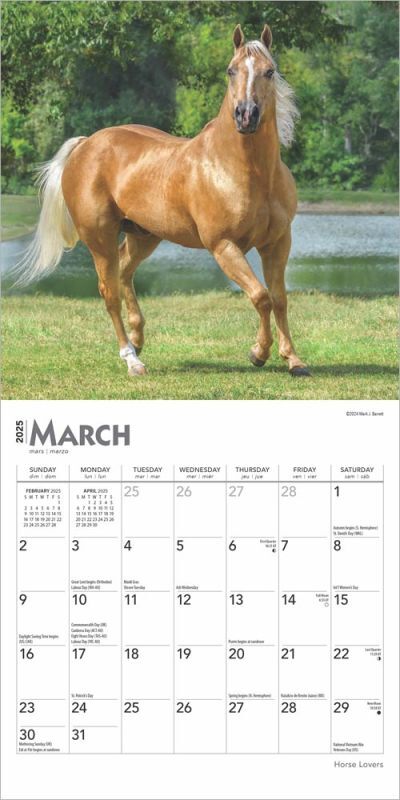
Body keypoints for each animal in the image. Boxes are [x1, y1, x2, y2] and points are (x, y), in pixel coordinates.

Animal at [17, 23, 310, 378]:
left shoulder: (277, 242)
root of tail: (87, 144)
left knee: (124, 272)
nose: (246, 116)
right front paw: (258, 353)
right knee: (109, 293)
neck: (245, 171)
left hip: (143, 235)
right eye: (231, 70)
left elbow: (279, 298)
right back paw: (132, 358)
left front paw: (294, 360)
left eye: (269, 71)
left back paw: (138, 338)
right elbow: (260, 296)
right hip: (99, 238)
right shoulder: (223, 246)